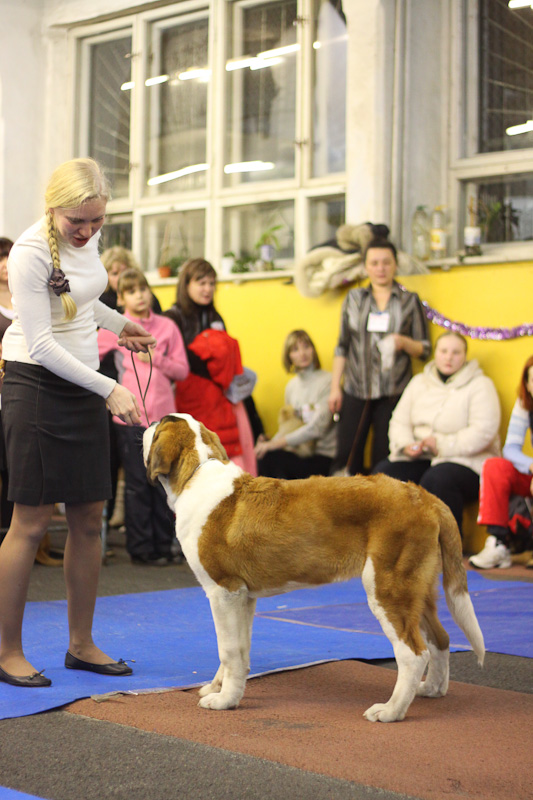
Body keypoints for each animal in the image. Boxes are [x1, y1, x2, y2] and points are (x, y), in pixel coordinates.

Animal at [143, 413, 485, 723]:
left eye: (159, 425)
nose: (146, 424)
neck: (196, 472)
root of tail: (424, 496)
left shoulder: (224, 592)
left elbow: (227, 650)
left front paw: (224, 700)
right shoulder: (244, 597)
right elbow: (239, 651)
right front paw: (221, 688)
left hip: (388, 588)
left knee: (413, 654)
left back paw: (390, 711)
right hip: (417, 589)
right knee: (440, 639)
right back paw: (432, 689)